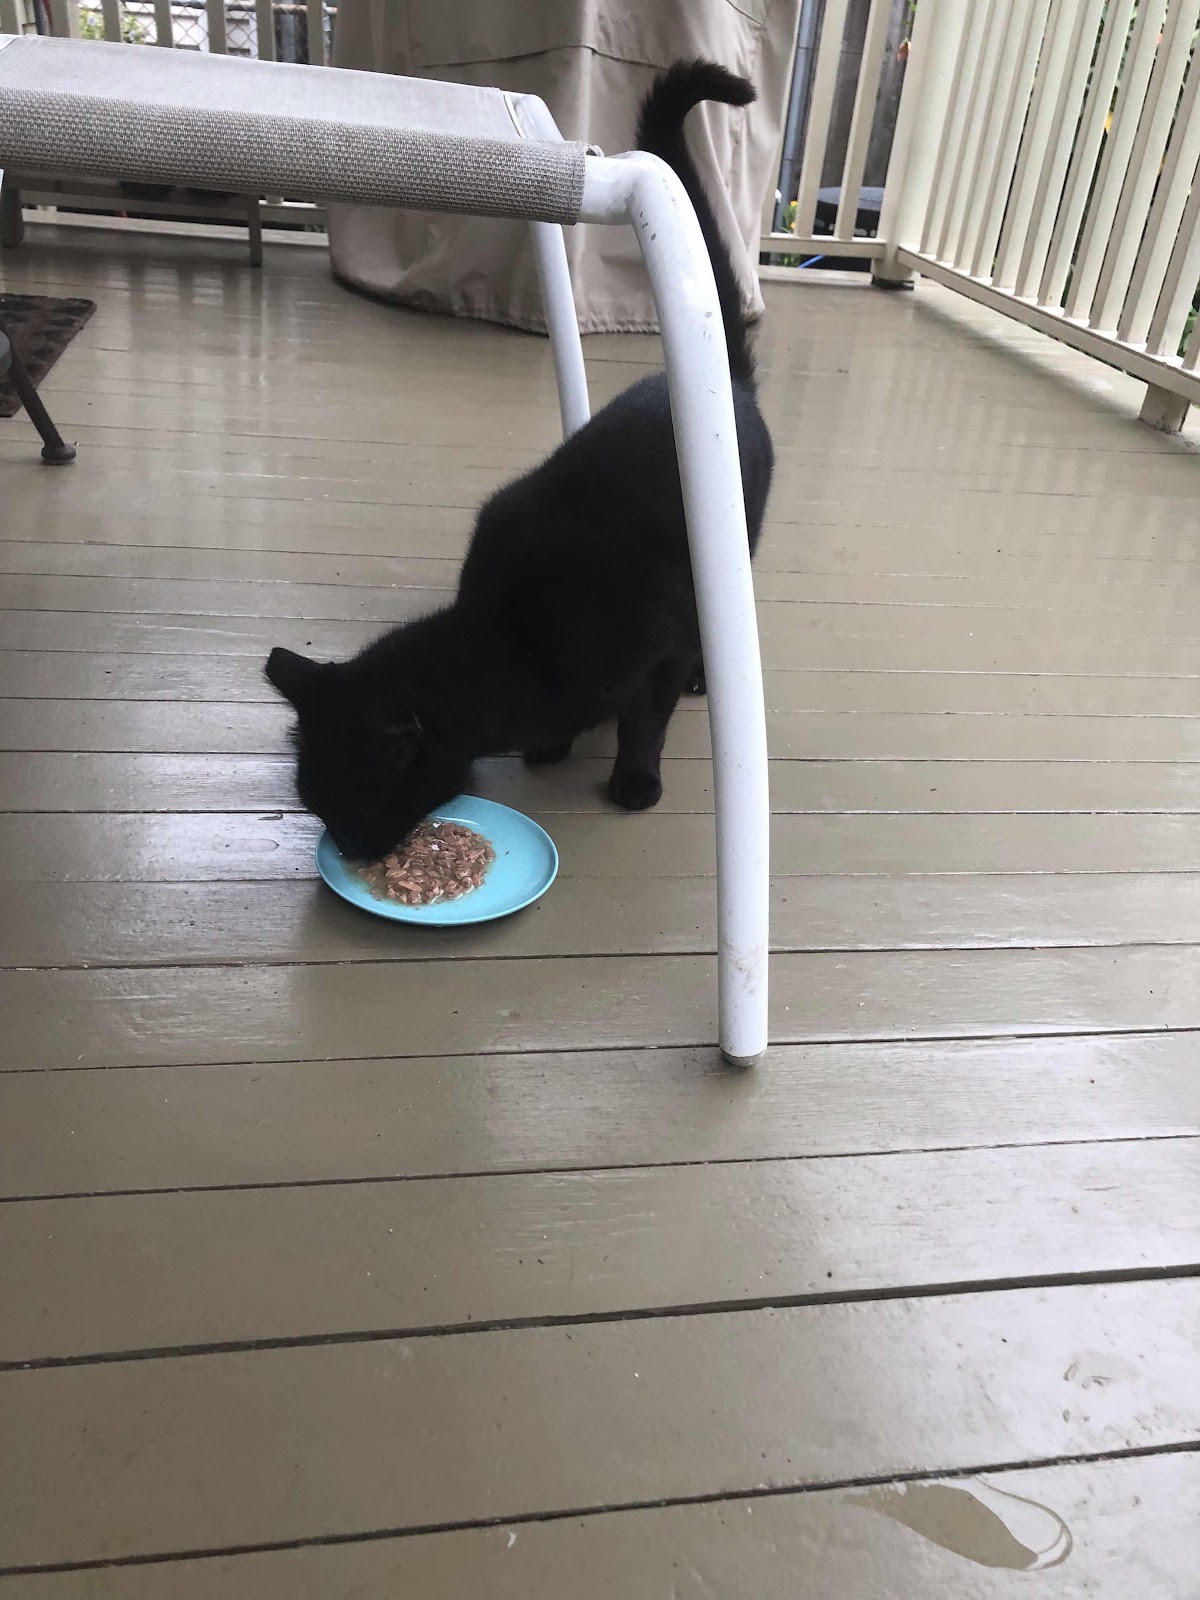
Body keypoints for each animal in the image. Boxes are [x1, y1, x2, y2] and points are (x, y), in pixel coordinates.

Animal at [265, 59, 774, 863]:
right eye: (316, 806)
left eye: (362, 802)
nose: (348, 847)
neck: (516, 640)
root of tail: (730, 382)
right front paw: (553, 747)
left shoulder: (652, 651)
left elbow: (645, 720)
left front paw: (634, 780)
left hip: (729, 549)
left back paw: (702, 680)